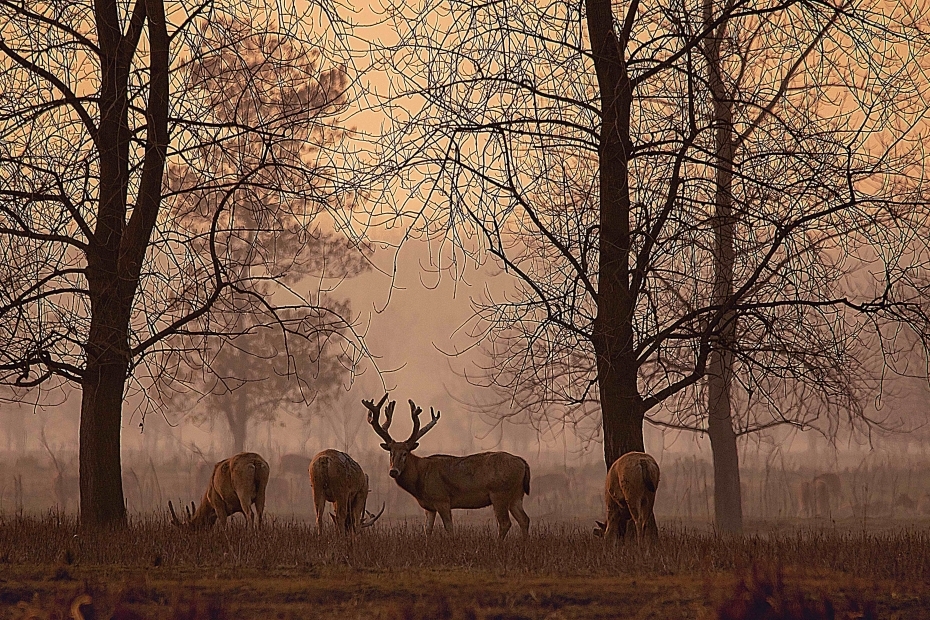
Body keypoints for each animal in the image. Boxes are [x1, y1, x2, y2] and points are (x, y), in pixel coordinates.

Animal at [366, 394, 532, 540]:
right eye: (391, 452)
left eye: (405, 453)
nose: (393, 471)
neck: (421, 477)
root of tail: (523, 463)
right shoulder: (429, 507)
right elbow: (427, 530)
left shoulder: (442, 499)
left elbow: (449, 528)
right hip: (517, 494)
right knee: (524, 519)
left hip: (499, 493)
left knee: (505, 523)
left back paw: (498, 544)